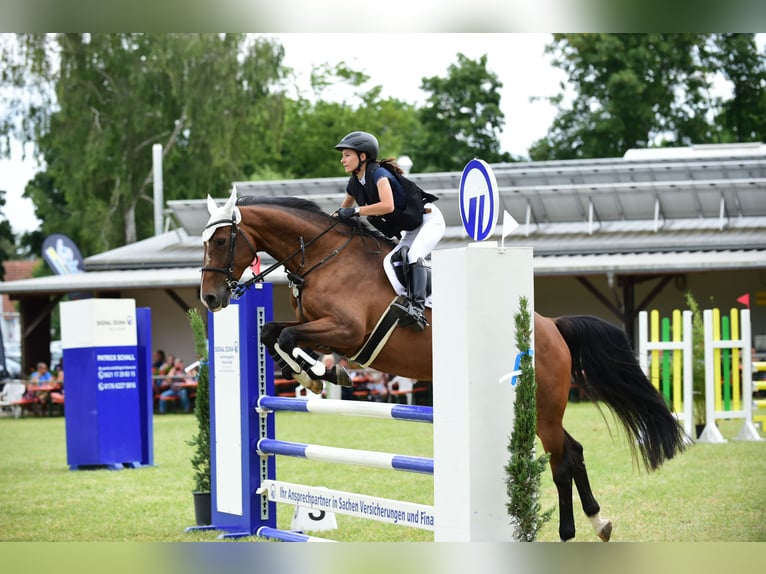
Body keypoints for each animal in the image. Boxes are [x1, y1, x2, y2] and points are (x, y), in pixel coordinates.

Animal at [200, 190, 688, 544]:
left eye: (221, 241)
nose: (211, 299)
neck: (324, 258)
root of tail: (551, 327)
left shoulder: (345, 331)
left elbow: (286, 338)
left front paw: (320, 377)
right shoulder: (318, 329)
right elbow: (273, 334)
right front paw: (316, 376)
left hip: (543, 406)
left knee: (562, 457)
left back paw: (579, 529)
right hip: (543, 409)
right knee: (573, 451)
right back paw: (589, 525)